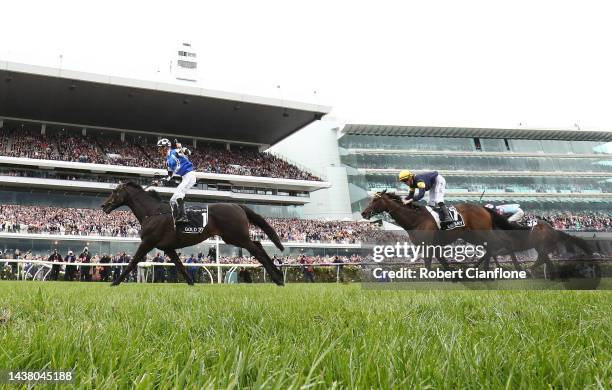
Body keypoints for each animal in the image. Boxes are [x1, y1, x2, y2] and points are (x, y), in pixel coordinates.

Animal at [101, 182, 286, 286]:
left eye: (115, 191)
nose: (103, 205)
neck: (152, 213)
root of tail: (237, 205)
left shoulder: (147, 242)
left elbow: (132, 262)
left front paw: (115, 282)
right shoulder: (168, 248)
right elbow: (181, 267)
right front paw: (191, 283)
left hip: (236, 236)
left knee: (257, 249)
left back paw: (278, 278)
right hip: (234, 237)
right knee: (258, 245)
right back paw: (279, 275)